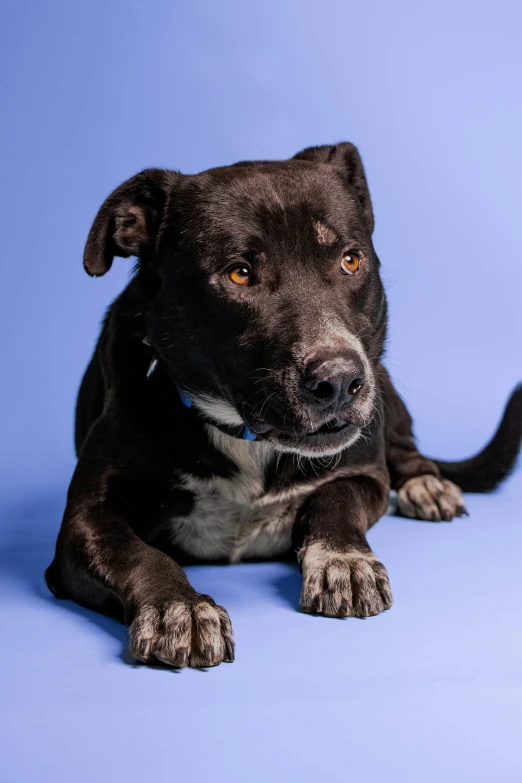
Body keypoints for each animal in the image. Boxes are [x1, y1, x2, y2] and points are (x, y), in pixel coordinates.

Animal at [45, 142, 520, 668]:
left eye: (350, 261)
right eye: (239, 273)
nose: (340, 380)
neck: (243, 435)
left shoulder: (361, 475)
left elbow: (334, 504)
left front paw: (342, 561)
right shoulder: (84, 521)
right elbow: (138, 554)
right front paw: (179, 607)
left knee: (407, 448)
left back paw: (426, 485)